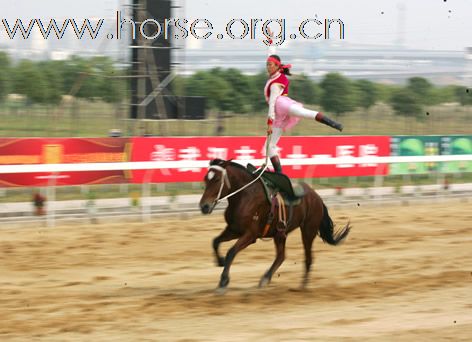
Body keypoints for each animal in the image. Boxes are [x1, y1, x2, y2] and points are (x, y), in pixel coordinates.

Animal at [198, 158, 350, 292]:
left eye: (217, 179)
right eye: (206, 178)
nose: (204, 206)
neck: (245, 195)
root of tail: (317, 197)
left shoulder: (250, 235)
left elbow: (231, 252)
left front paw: (223, 281)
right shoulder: (234, 229)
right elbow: (215, 241)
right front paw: (220, 261)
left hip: (308, 230)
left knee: (308, 258)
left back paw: (302, 286)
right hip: (280, 233)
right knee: (281, 256)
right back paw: (265, 278)